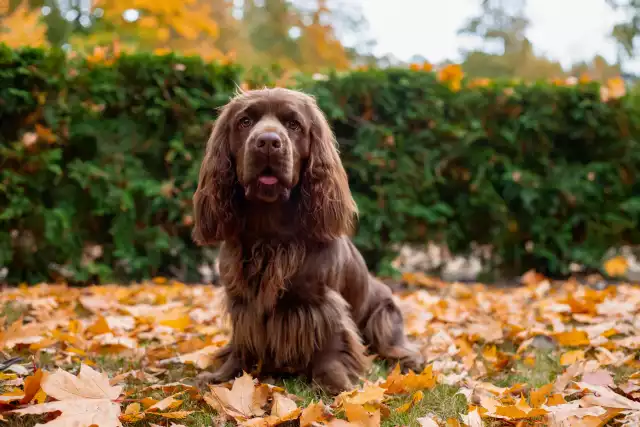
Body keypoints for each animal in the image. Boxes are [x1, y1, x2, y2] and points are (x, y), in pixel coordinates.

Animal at [192, 88, 422, 394]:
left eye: (294, 124)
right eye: (244, 122)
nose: (268, 142)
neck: (270, 229)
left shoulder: (322, 302)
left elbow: (329, 345)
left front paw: (336, 386)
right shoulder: (242, 301)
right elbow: (243, 341)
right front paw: (224, 376)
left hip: (385, 313)